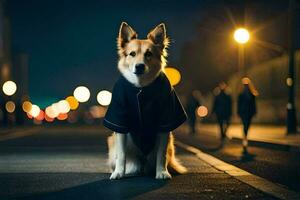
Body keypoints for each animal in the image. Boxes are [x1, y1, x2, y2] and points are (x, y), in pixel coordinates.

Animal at [103, 21, 188, 180]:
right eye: (132, 54)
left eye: (149, 54)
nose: (139, 66)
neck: (141, 86)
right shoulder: (120, 121)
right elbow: (121, 154)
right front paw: (118, 172)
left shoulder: (165, 122)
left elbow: (162, 154)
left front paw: (162, 172)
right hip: (114, 143)